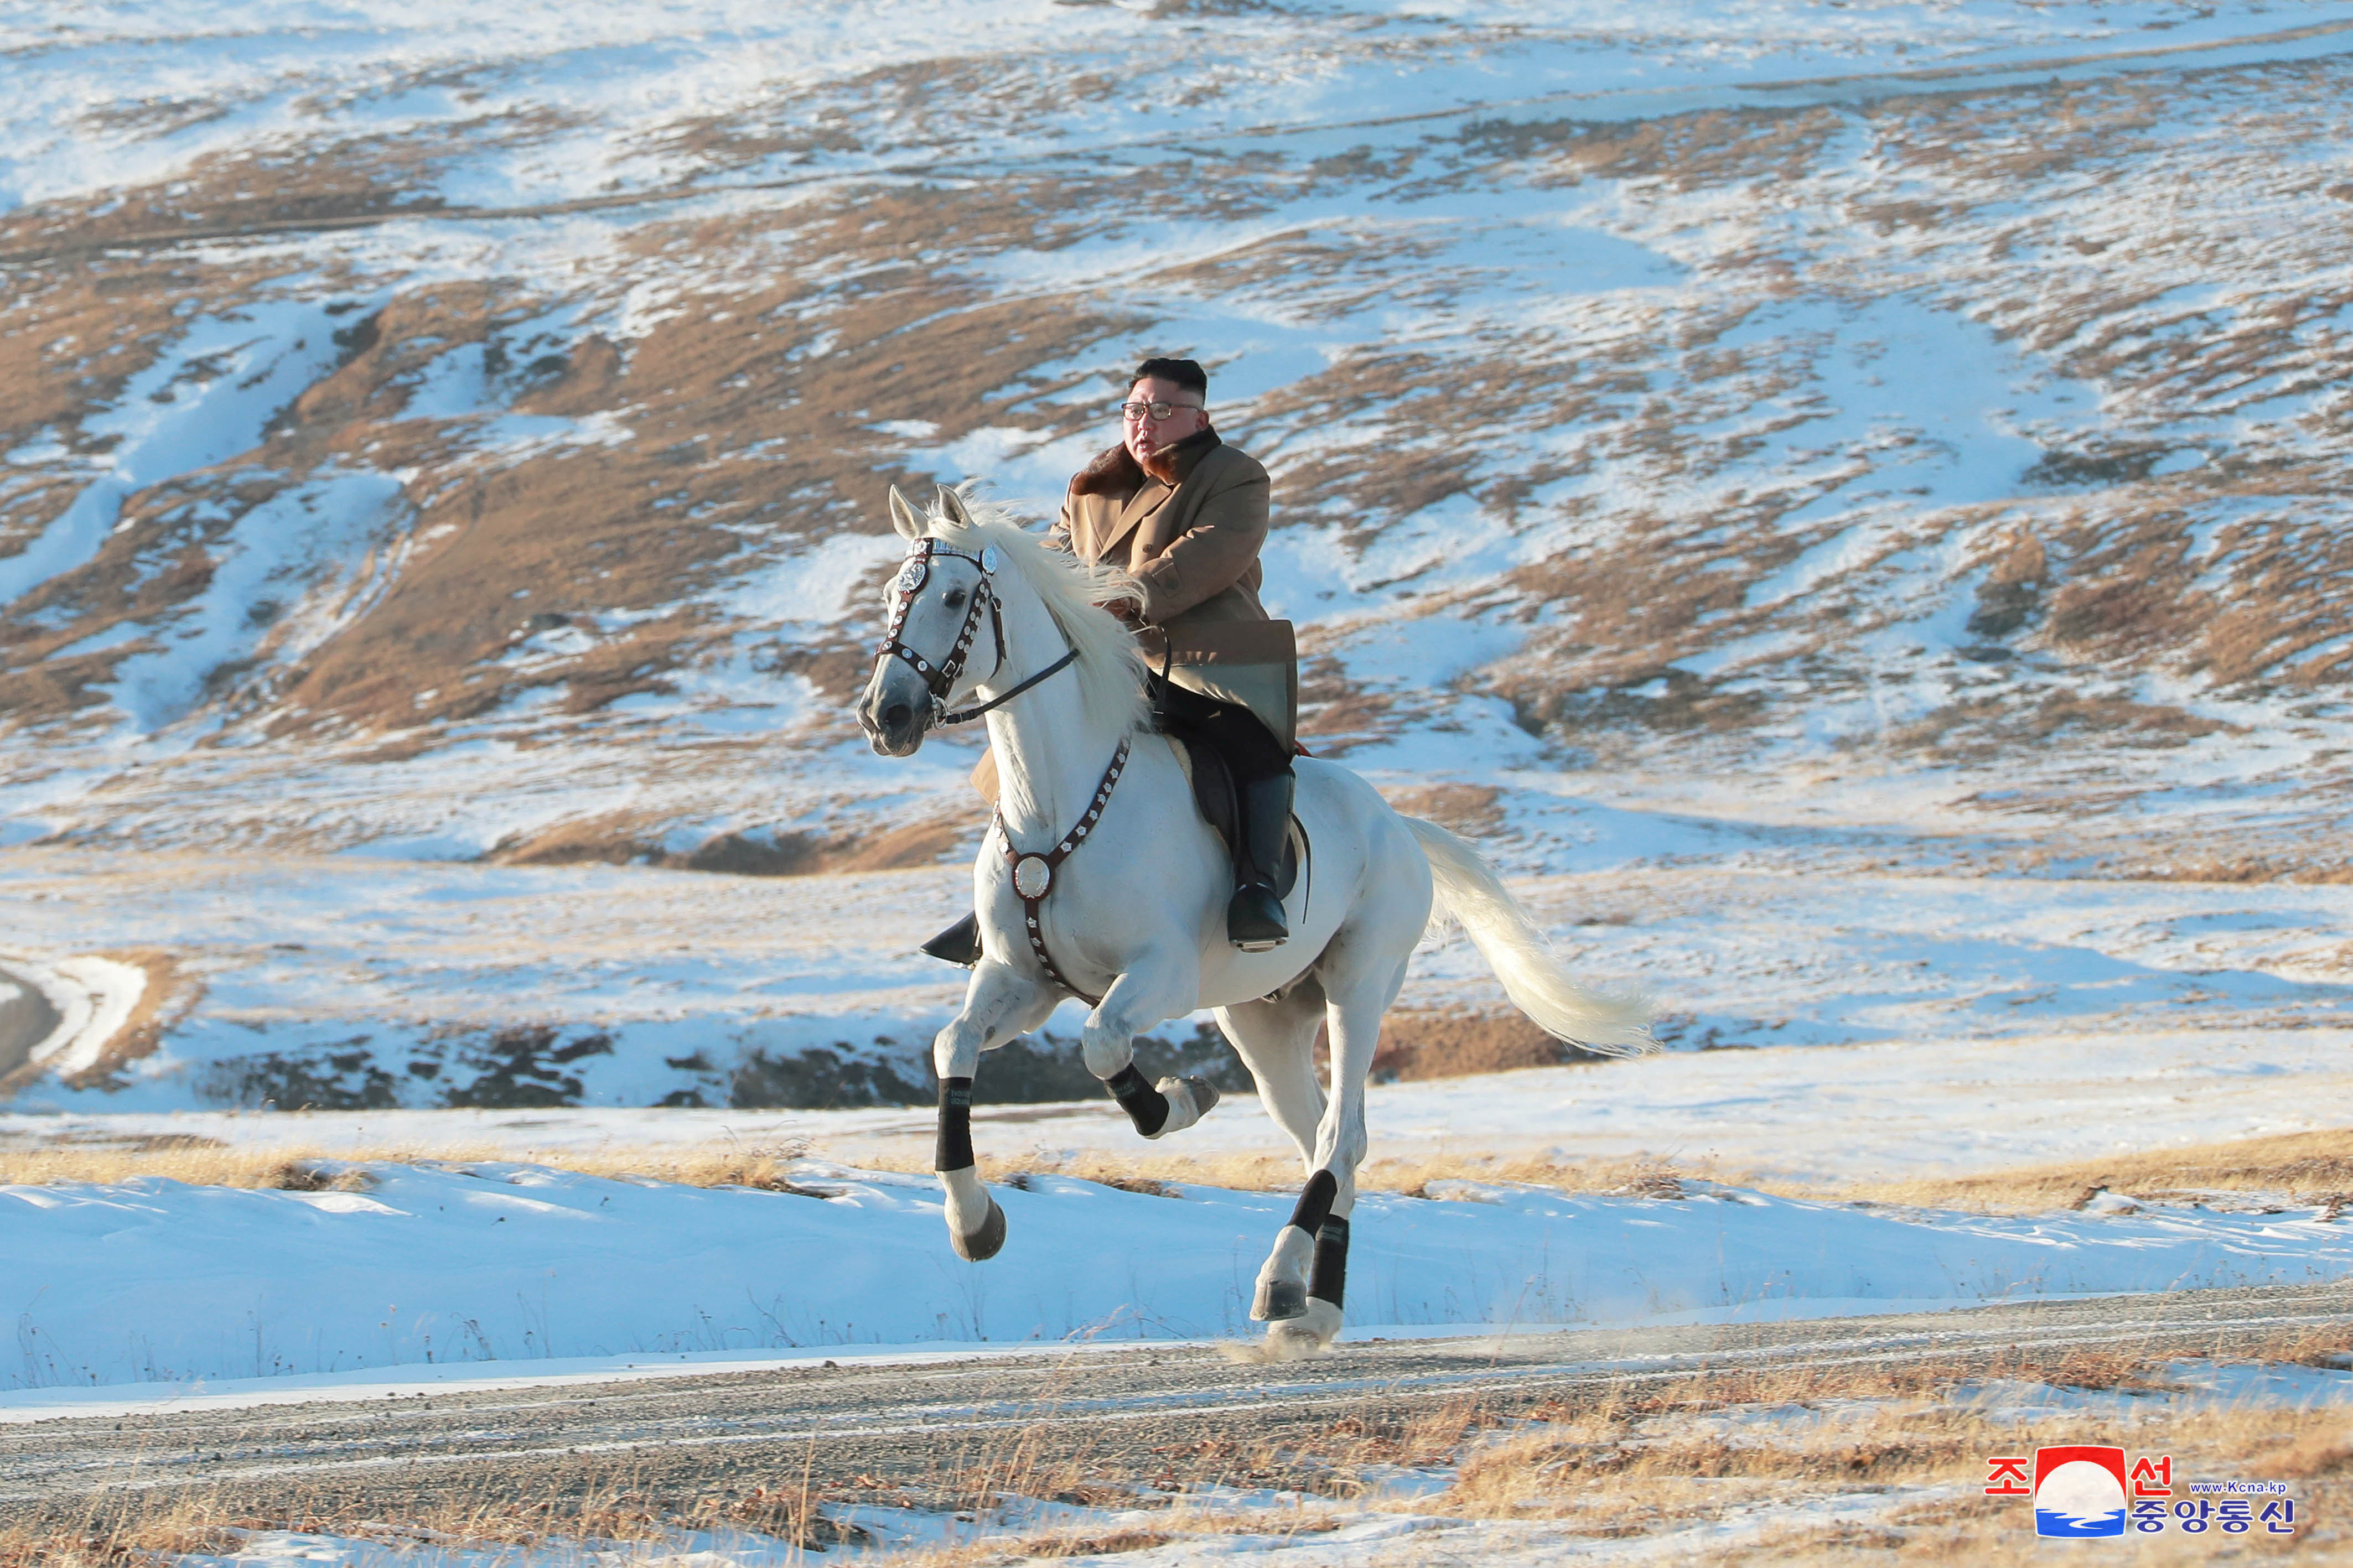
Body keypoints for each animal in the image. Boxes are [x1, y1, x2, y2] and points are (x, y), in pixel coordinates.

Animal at [856, 486, 1647, 1363]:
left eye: (955, 597)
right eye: (891, 595)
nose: (887, 715)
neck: (1057, 803)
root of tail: (1399, 824)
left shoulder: (1158, 976)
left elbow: (1102, 1045)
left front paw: (1177, 1101)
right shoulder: (1021, 980)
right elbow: (953, 1046)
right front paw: (973, 1221)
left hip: (1358, 984)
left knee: (1339, 1134)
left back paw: (1280, 1282)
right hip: (1262, 1021)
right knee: (1329, 1140)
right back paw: (1312, 1307)